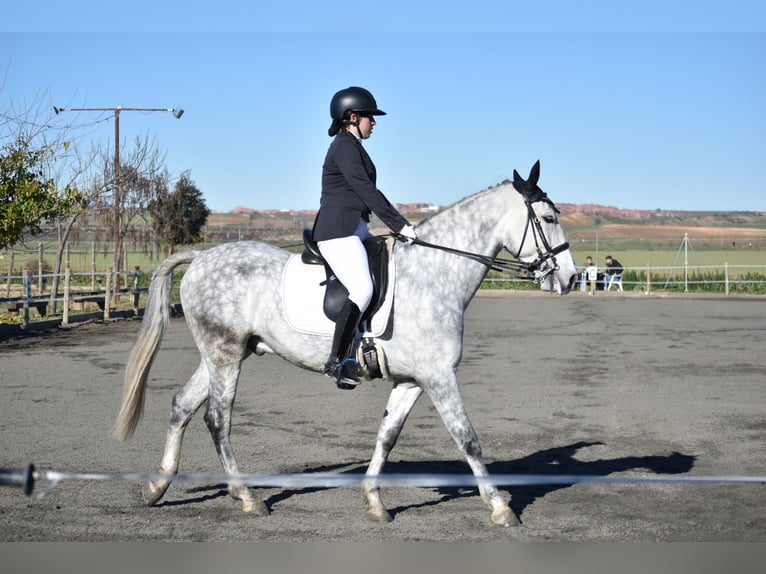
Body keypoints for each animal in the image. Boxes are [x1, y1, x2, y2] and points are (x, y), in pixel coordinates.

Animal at [115, 161, 576, 528]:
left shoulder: (412, 380)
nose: (570, 278)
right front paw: (500, 507)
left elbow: (387, 436)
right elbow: (468, 439)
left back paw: (158, 486)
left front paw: (375, 502)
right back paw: (247, 497)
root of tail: (200, 258)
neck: (434, 273)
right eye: (548, 217)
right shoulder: (439, 376)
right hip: (225, 355)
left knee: (182, 405)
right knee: (217, 418)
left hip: (220, 354)